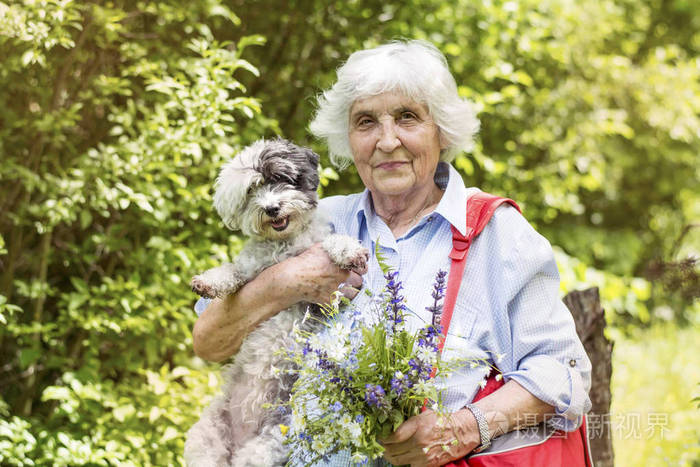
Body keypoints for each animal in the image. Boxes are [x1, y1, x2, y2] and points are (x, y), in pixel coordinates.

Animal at [186, 139, 372, 467]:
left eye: (281, 179)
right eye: (252, 190)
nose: (271, 208)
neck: (284, 245)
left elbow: (332, 243)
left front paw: (349, 250)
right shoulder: (250, 271)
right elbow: (232, 271)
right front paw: (208, 281)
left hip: (267, 446)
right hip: (205, 439)